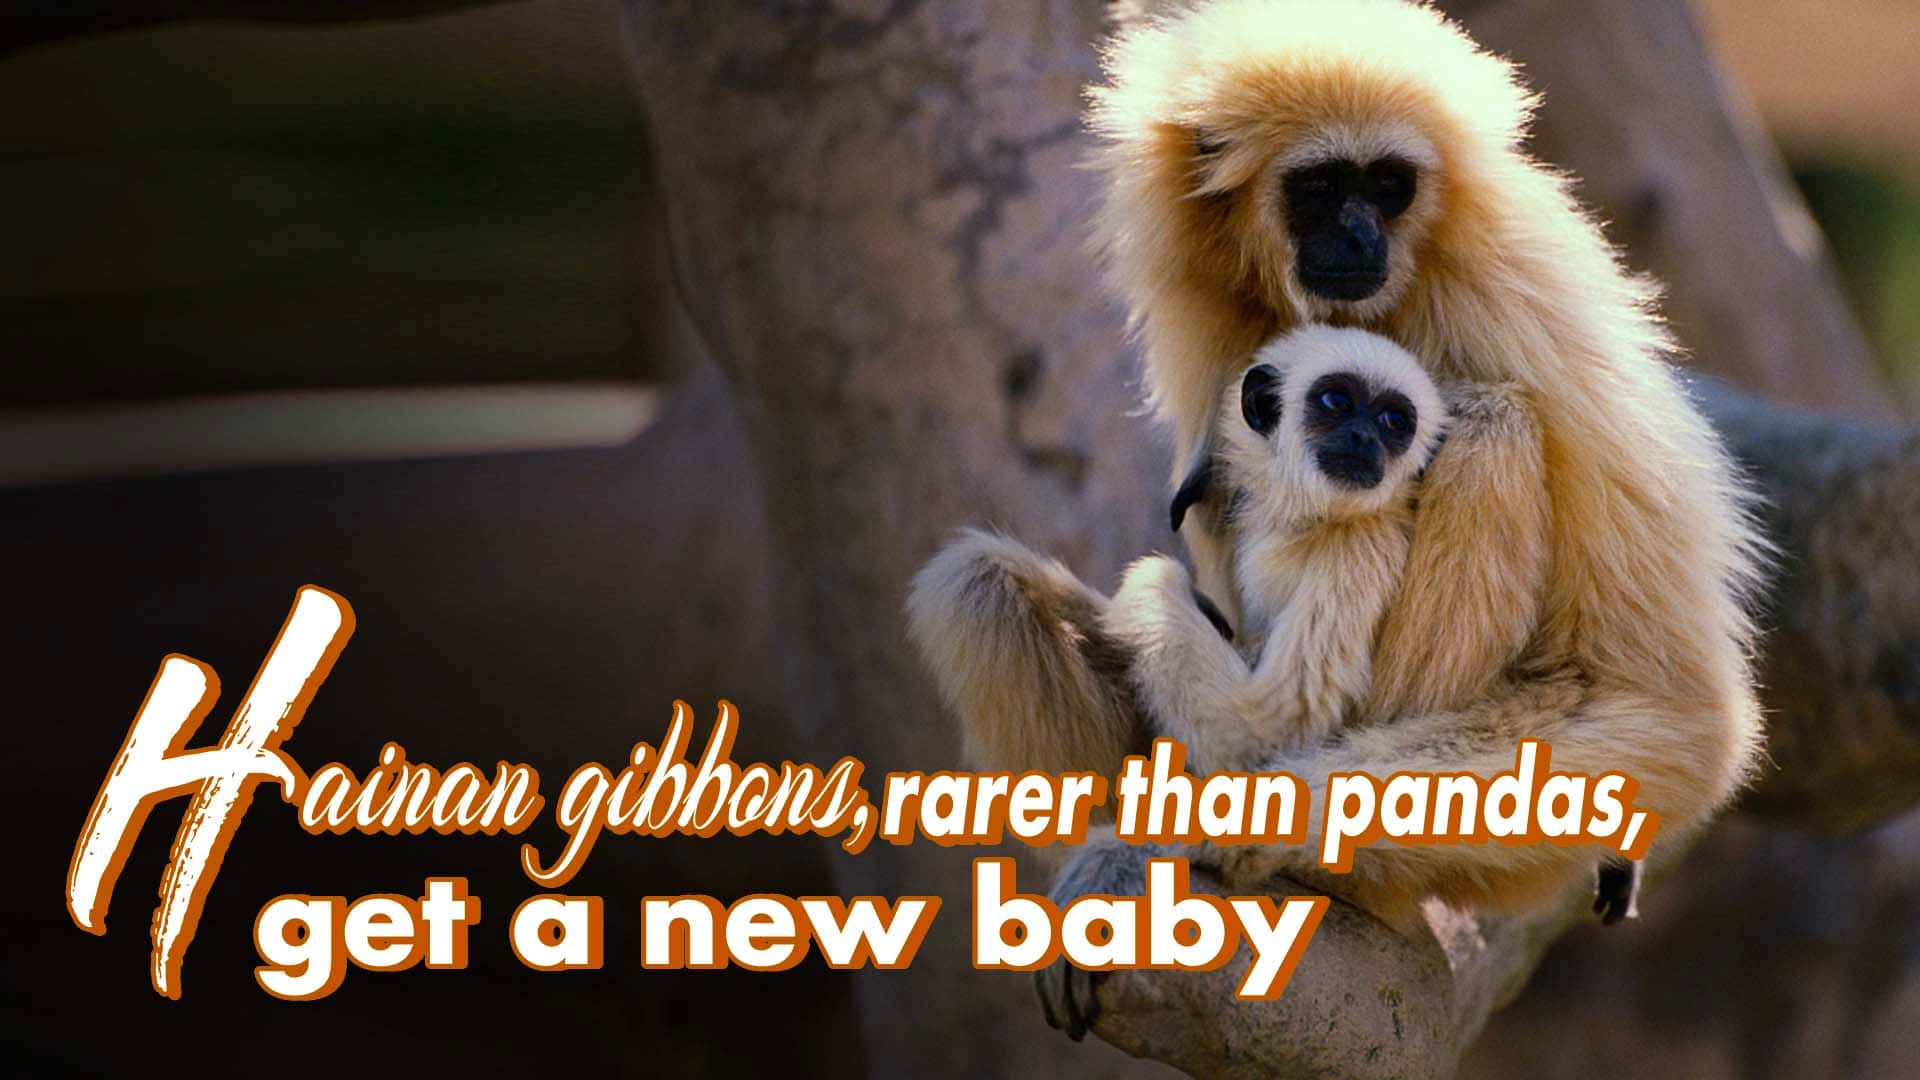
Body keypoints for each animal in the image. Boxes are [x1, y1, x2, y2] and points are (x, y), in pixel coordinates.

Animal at [1110, 325, 1456, 778]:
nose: (1364, 437)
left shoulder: (1356, 550)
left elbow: (1267, 728)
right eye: (1337, 401)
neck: (1310, 524)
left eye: (1394, 421)